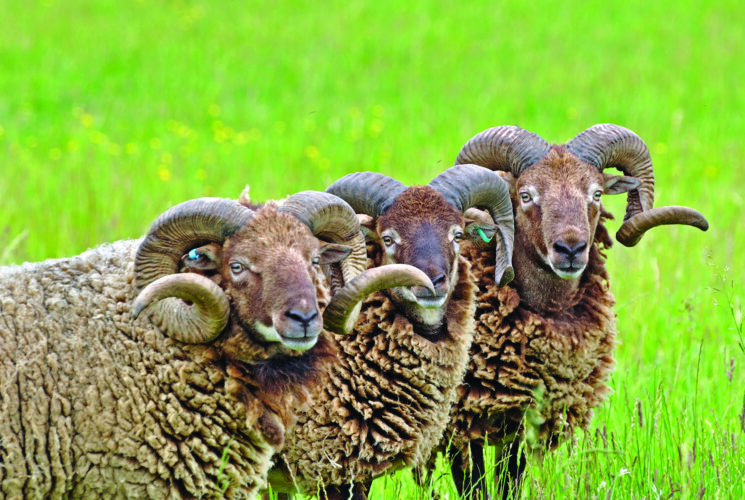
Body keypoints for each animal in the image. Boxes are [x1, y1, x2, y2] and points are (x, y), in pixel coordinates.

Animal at [438, 124, 709, 498]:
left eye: (596, 193)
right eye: (525, 195)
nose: (571, 248)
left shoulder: (525, 416)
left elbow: (509, 479)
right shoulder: (460, 417)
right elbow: (472, 484)